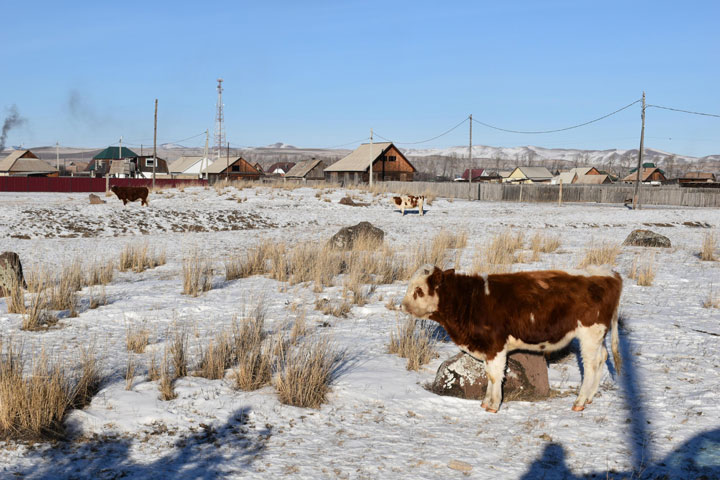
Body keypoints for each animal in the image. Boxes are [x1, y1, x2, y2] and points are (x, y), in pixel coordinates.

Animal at [402, 262, 620, 412]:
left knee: (590, 365)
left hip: (590, 334)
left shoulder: (495, 345)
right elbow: (489, 374)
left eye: (418, 290)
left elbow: (495, 375)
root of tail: (609, 273)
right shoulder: (487, 348)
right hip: (598, 337)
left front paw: (493, 405)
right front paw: (485, 402)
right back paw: (589, 397)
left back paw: (580, 401)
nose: (402, 305)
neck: (470, 301)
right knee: (602, 357)